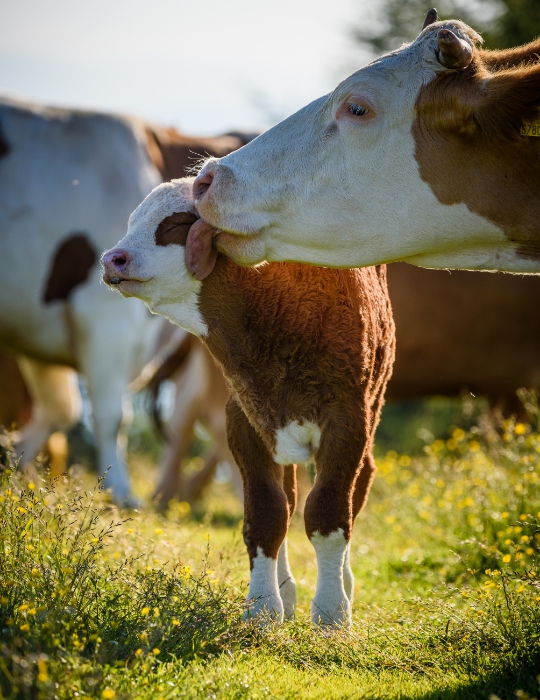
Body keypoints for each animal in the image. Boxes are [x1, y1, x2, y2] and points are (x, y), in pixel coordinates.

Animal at [0, 95, 254, 503]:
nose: (111, 259)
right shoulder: (105, 318)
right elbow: (109, 414)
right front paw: (119, 491)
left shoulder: (40, 332)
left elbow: (60, 407)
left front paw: (15, 461)